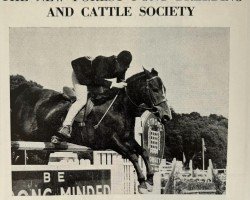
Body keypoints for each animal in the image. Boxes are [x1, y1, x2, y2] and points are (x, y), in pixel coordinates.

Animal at [11, 67, 172, 194]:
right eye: (154, 89)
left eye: (164, 89)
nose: (166, 116)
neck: (120, 108)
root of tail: (24, 90)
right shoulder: (111, 141)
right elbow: (132, 155)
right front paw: (143, 183)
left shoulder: (127, 139)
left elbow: (143, 152)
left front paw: (150, 180)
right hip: (24, 134)